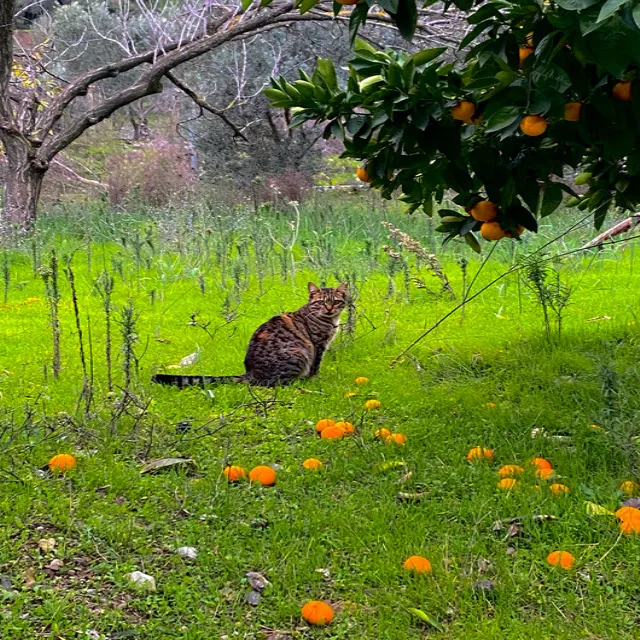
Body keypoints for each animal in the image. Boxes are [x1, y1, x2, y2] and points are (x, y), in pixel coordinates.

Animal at [152, 282, 348, 388]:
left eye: (336, 302)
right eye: (321, 302)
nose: (329, 309)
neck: (329, 320)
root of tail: (251, 373)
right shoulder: (317, 345)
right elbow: (316, 366)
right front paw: (315, 380)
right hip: (299, 353)